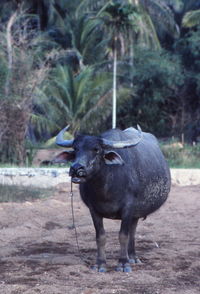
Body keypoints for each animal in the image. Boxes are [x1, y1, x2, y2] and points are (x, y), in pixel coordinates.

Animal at [54, 125, 170, 272]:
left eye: (96, 149)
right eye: (75, 149)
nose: (76, 168)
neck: (106, 189)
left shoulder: (128, 208)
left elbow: (123, 235)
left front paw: (123, 263)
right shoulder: (93, 210)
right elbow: (100, 236)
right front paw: (100, 263)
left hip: (135, 212)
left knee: (132, 232)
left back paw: (132, 258)